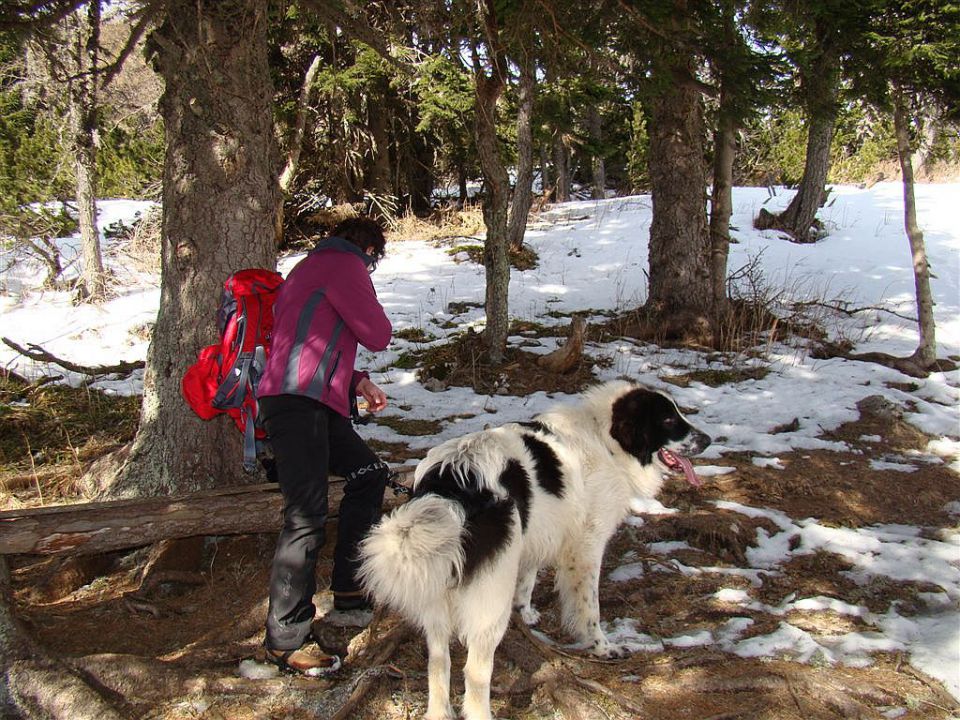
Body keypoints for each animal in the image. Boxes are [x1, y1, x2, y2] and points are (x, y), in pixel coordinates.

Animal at [356, 380, 708, 716]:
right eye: (668, 419)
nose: (707, 440)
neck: (605, 439)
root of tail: (451, 480)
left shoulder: (536, 534)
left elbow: (528, 579)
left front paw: (525, 614)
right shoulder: (586, 549)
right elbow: (589, 608)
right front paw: (602, 647)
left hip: (439, 590)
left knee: (438, 664)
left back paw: (439, 712)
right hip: (490, 597)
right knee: (474, 671)